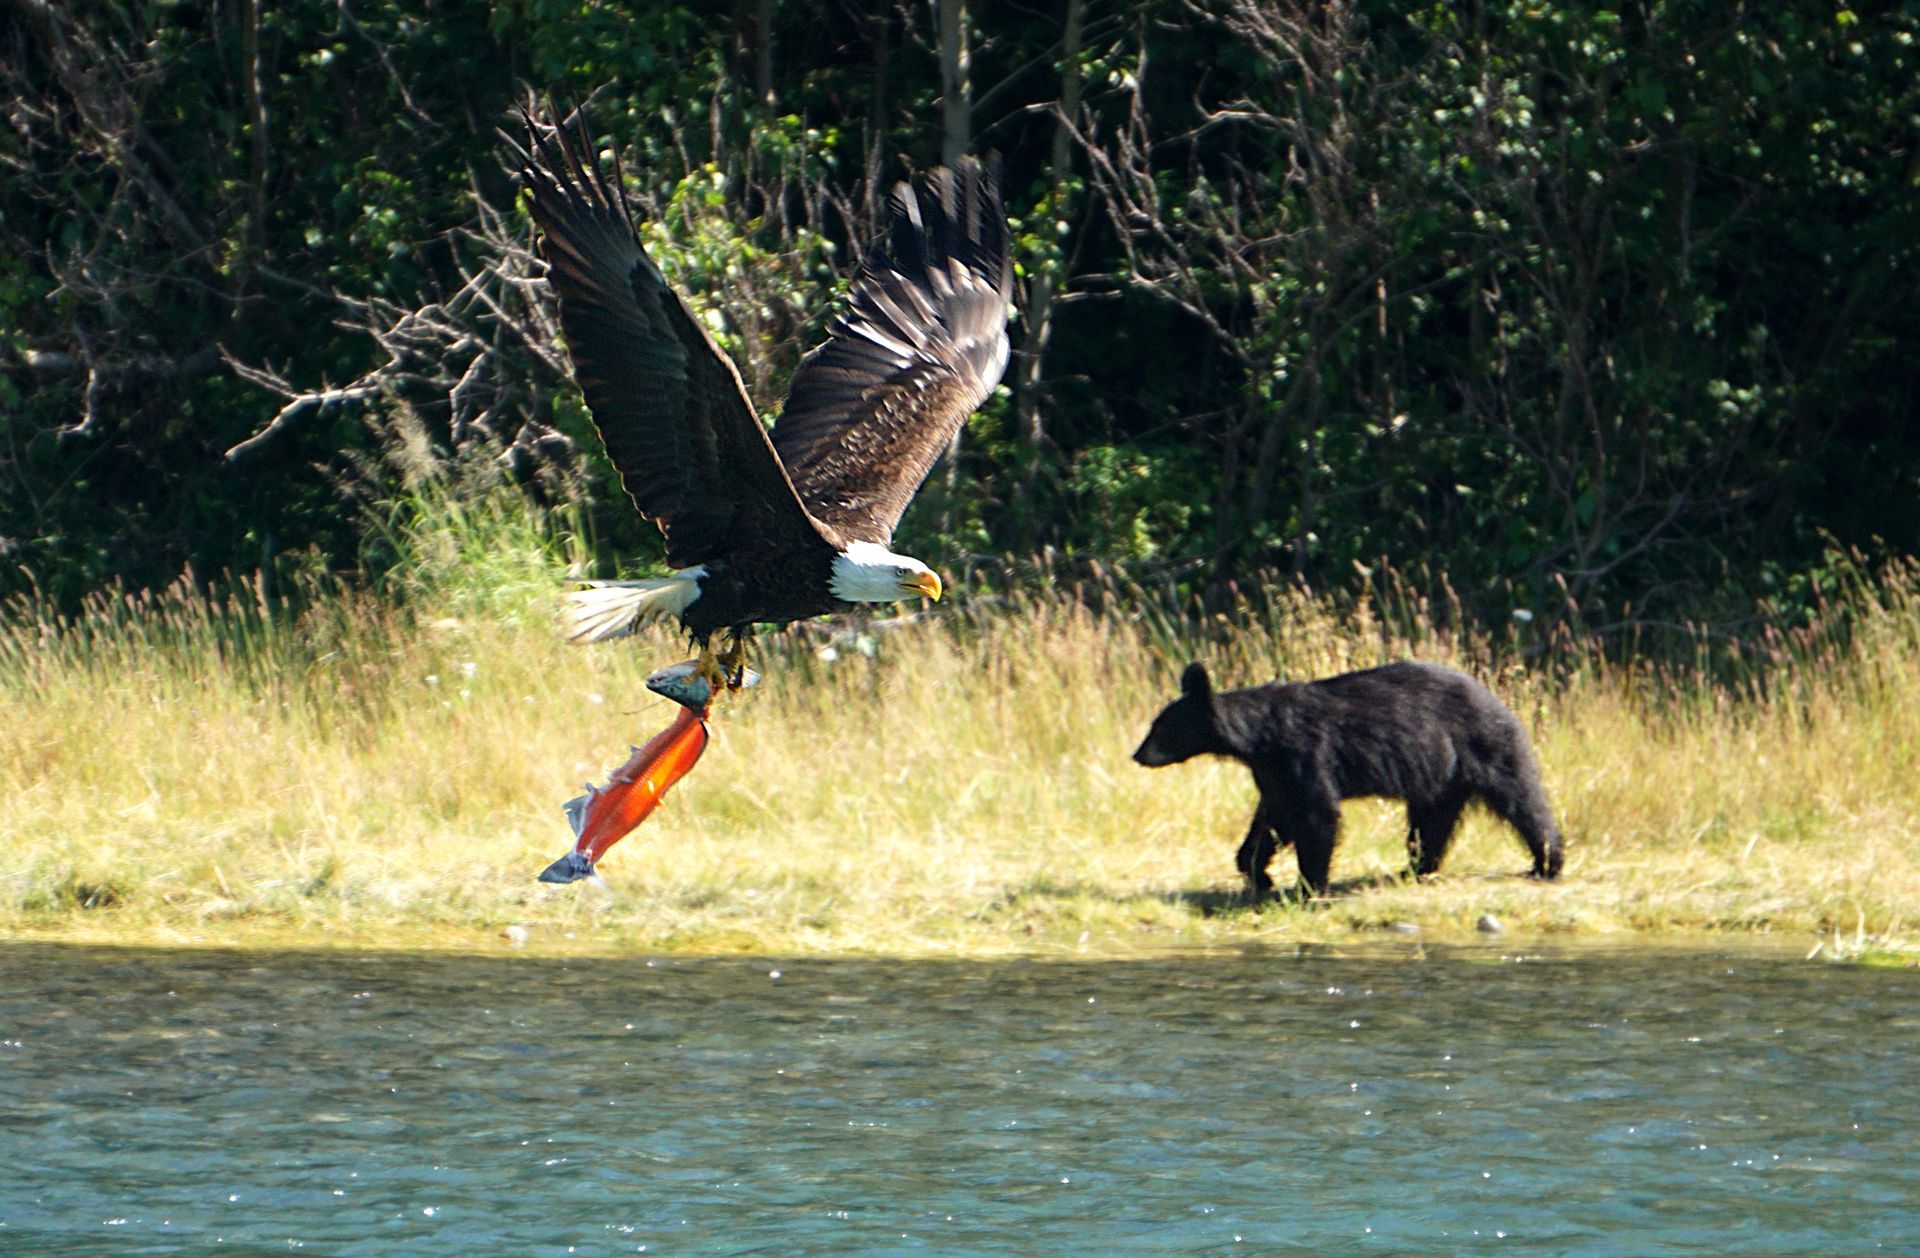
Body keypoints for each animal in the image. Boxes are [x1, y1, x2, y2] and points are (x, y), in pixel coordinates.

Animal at [1132, 660, 1565, 896]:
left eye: (1159, 728)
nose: (1137, 755)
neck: (1260, 736)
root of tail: (1496, 698)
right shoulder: (1272, 769)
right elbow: (1274, 817)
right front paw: (1257, 870)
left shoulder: (1305, 753)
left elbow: (1315, 814)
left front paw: (1310, 886)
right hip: (1442, 775)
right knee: (1432, 821)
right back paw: (1416, 868)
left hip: (1484, 745)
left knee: (1521, 799)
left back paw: (1548, 862)